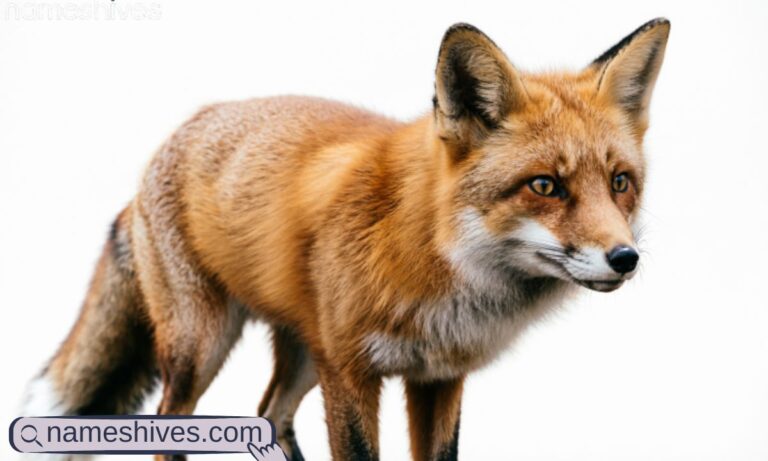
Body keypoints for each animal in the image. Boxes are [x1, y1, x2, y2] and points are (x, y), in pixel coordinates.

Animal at [21, 18, 670, 461]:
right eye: (545, 186)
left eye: (619, 183)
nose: (625, 258)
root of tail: (168, 141)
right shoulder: (353, 373)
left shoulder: (439, 377)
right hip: (203, 347)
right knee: (170, 429)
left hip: (306, 352)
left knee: (270, 413)